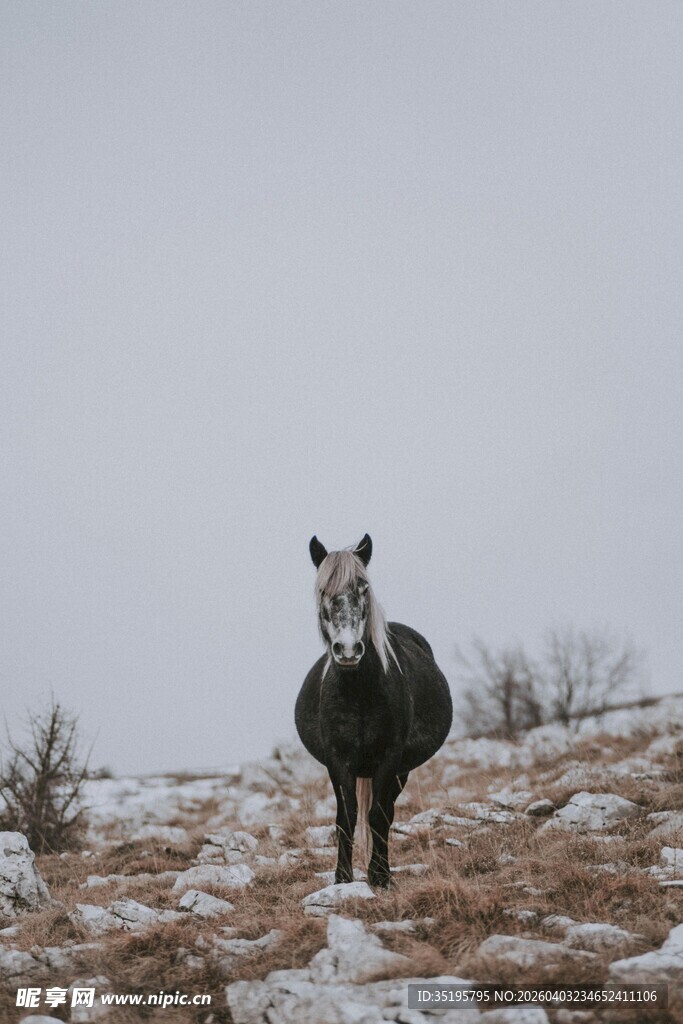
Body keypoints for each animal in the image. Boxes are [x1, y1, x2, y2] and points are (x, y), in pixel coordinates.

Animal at [295, 534, 452, 888]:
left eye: (363, 588)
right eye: (323, 591)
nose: (348, 650)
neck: (360, 692)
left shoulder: (390, 757)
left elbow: (378, 815)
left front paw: (379, 877)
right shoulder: (338, 760)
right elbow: (347, 816)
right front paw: (342, 878)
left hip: (401, 770)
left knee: (387, 812)